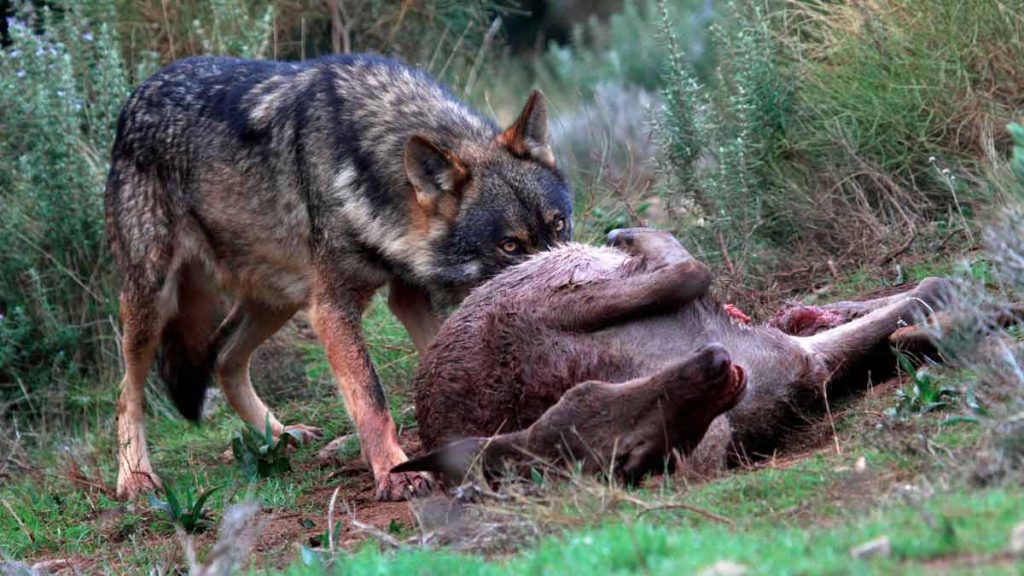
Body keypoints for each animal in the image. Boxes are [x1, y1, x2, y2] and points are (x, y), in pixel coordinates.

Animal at [104, 54, 572, 501]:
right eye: (509, 245)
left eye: (560, 224)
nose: (561, 279)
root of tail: (137, 95)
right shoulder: (334, 308)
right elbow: (370, 397)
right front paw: (395, 473)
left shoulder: (407, 294)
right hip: (155, 301)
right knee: (128, 391)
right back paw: (136, 477)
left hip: (281, 299)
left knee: (223, 355)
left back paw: (279, 435)